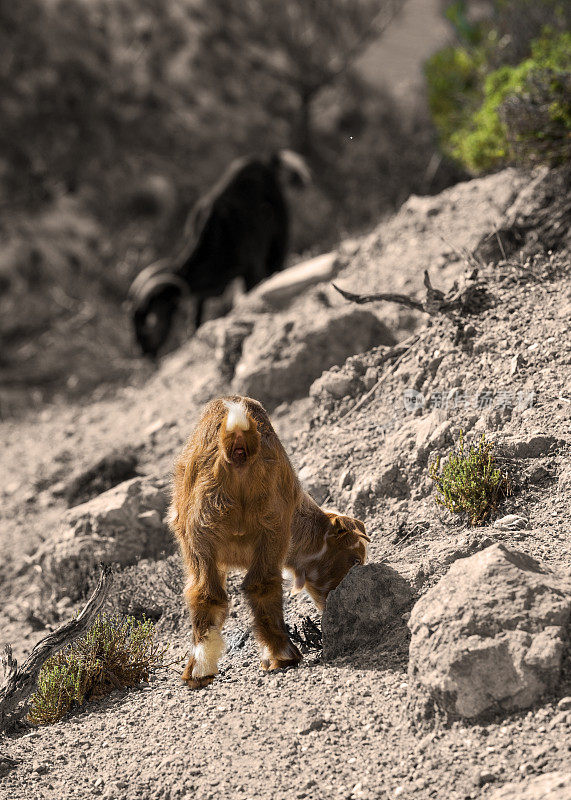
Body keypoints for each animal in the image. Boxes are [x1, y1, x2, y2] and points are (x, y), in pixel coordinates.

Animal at [129, 149, 310, 360]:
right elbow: (196, 320)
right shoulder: (203, 294)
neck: (214, 238)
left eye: (150, 321)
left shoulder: (252, 267)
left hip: (279, 237)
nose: (142, 351)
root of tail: (267, 162)